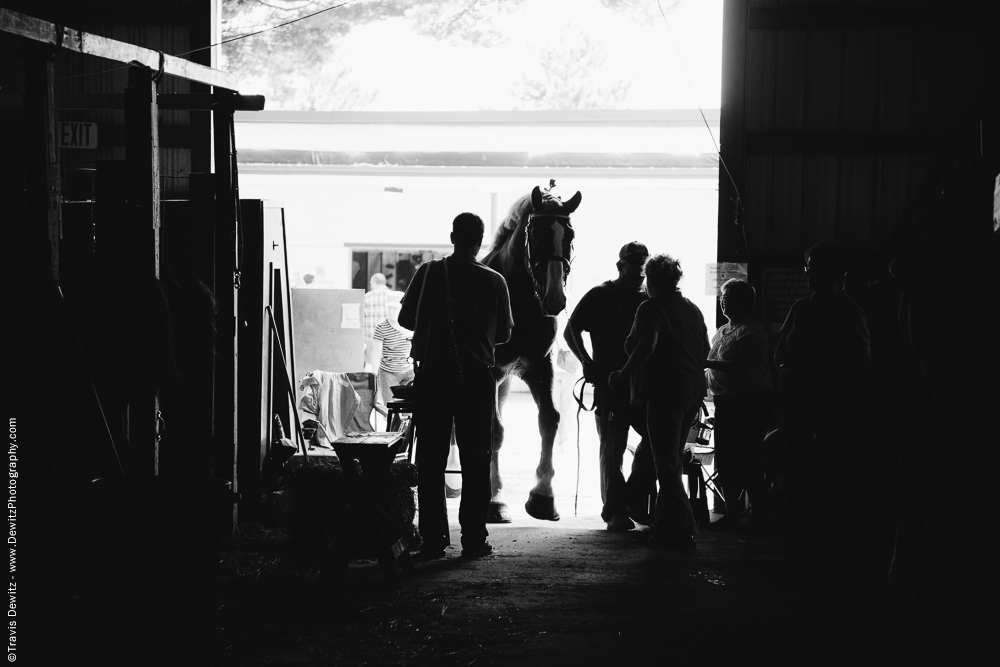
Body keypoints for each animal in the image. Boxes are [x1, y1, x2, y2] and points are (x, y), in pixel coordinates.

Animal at [482, 181, 584, 520]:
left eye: (569, 236)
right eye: (536, 235)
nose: (555, 298)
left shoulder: (541, 368)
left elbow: (550, 420)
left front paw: (543, 496)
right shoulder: (489, 372)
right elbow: (494, 429)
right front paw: (493, 498)